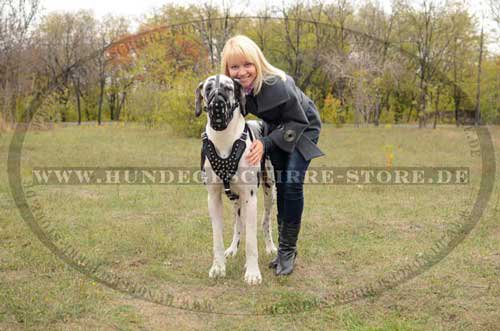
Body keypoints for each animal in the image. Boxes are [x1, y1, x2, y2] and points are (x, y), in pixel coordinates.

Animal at [194, 75, 278, 286]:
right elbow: (217, 237)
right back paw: (232, 248)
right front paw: (218, 267)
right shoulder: (213, 198)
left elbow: (251, 242)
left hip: (269, 192)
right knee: (238, 224)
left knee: (265, 222)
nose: (217, 103)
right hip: (235, 199)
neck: (224, 139)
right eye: (208, 88)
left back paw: (270, 247)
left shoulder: (251, 197)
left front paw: (253, 273)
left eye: (228, 88)